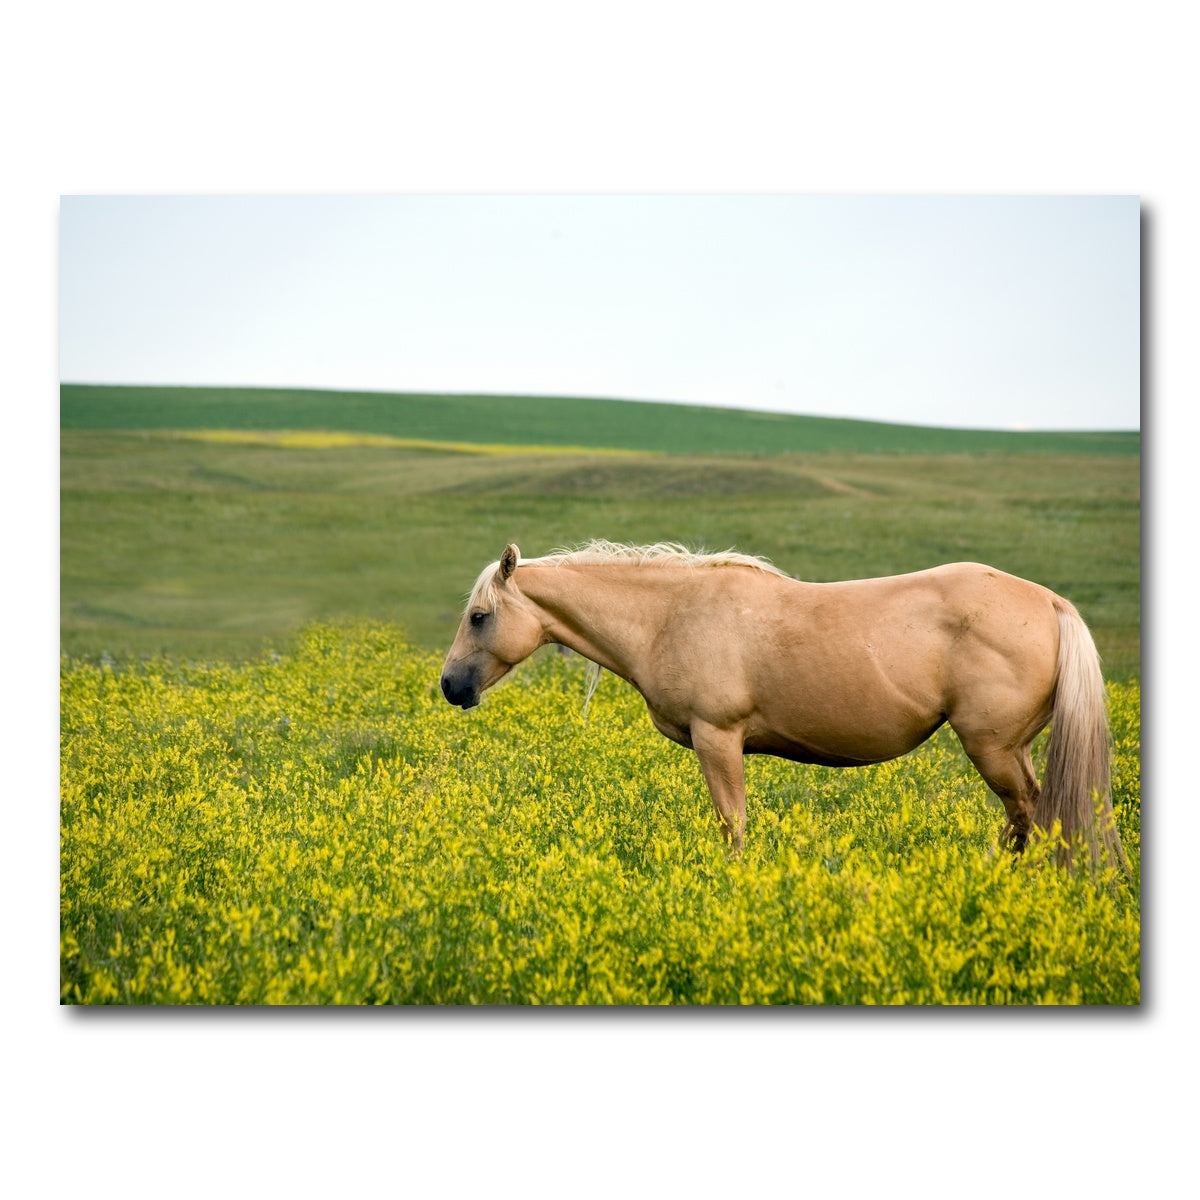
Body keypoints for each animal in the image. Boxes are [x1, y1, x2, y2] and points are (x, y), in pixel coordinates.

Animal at [440, 540, 1125, 868]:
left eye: (479, 617)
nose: (450, 687)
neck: (669, 615)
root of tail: (1050, 603)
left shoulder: (718, 739)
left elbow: (733, 825)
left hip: (993, 749)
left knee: (1030, 814)